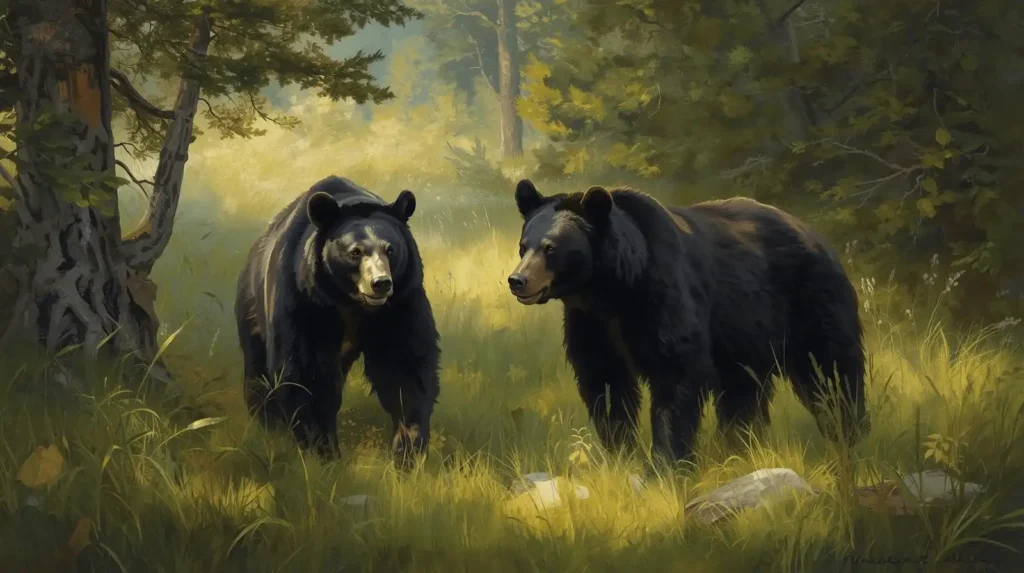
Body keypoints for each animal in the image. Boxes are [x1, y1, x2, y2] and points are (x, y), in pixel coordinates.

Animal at [235, 175, 440, 468]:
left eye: (391, 249)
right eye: (355, 252)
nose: (380, 283)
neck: (351, 303)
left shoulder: (400, 302)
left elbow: (405, 366)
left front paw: (407, 450)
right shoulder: (305, 300)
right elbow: (307, 373)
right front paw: (322, 450)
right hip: (252, 308)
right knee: (258, 372)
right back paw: (269, 426)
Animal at [506, 179, 870, 468]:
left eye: (550, 248)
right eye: (523, 246)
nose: (517, 280)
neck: (613, 290)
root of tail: (818, 236)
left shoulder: (664, 298)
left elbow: (675, 374)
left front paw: (665, 464)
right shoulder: (591, 324)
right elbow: (605, 385)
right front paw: (623, 457)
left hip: (812, 302)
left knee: (831, 373)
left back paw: (849, 437)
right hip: (746, 333)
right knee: (744, 392)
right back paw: (740, 447)